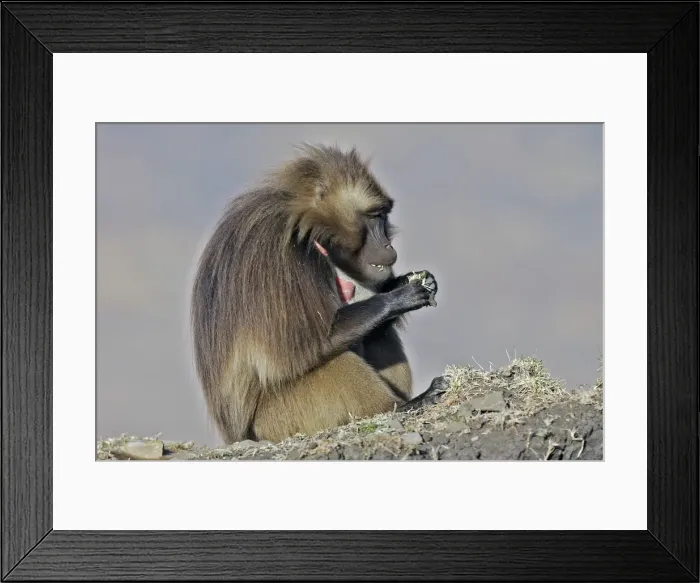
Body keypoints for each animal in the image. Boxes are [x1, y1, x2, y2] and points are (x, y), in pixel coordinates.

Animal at [190, 144, 441, 444]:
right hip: (280, 417)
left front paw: (413, 281)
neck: (304, 222)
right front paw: (399, 297)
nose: (388, 246)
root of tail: (239, 437)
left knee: (379, 334)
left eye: (384, 216)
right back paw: (405, 405)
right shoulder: (280, 256)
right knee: (336, 359)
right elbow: (312, 341)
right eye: (374, 216)